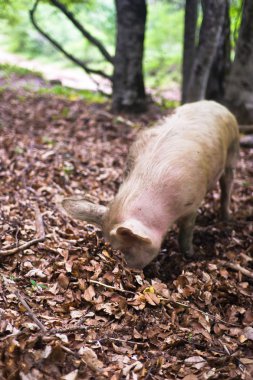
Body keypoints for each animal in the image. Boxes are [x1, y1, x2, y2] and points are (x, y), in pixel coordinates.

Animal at [61, 99, 239, 268]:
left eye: (127, 249)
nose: (131, 269)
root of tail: (215, 104)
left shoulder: (192, 204)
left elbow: (186, 232)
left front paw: (190, 254)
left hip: (233, 151)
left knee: (227, 184)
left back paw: (226, 218)